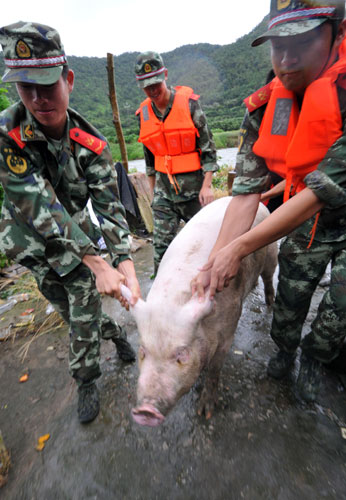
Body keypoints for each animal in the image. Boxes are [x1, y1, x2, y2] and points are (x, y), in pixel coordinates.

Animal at [124, 195, 278, 426]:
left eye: (182, 354)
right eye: (142, 352)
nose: (145, 411)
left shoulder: (229, 326)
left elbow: (215, 368)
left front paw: (204, 412)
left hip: (271, 252)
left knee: (269, 277)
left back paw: (270, 304)